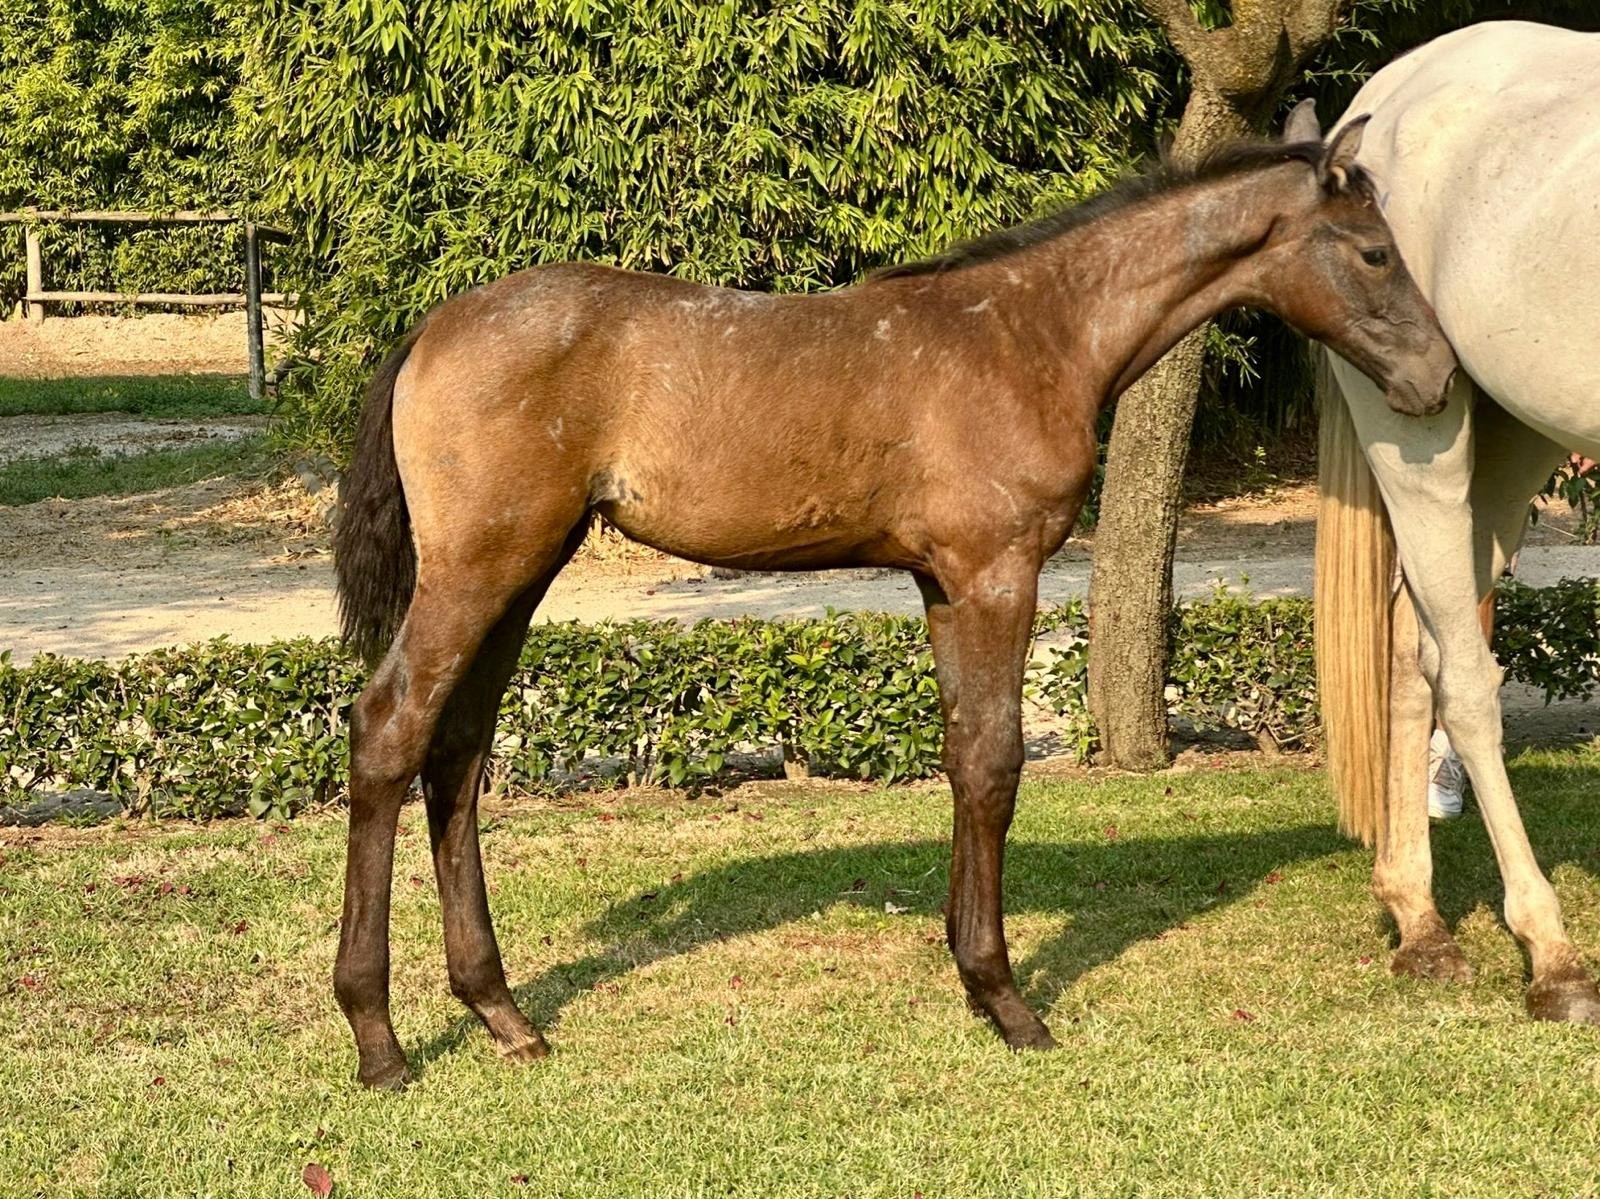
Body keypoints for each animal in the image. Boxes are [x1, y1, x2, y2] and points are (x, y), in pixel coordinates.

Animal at [330, 111, 1456, 1089]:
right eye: (1373, 253)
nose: (1437, 378)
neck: (1033, 333)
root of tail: (432, 331)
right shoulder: (998, 570)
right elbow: (997, 762)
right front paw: (1010, 1001)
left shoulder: (946, 582)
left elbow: (964, 757)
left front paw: (973, 976)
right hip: (478, 570)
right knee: (389, 729)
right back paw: (378, 1036)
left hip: (522, 572)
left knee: (457, 753)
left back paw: (501, 1011)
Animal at [1317, 20, 1600, 1025]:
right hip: (1417, 427)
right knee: (1468, 681)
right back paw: (1552, 956)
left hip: (1516, 438)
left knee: (1417, 648)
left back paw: (1420, 920)